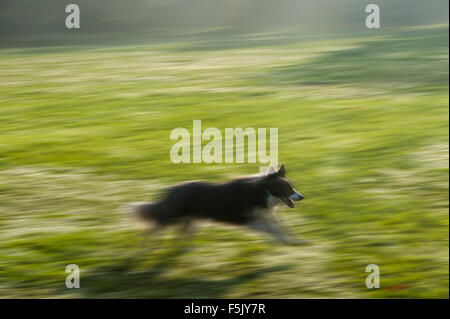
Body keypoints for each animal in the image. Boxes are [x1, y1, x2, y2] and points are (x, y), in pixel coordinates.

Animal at [131, 165, 310, 245]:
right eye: (287, 188)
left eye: (292, 186)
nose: (301, 197)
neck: (260, 192)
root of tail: (170, 190)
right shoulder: (250, 220)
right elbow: (273, 231)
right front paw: (283, 241)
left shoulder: (266, 216)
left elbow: (282, 229)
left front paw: (296, 241)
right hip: (172, 216)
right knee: (155, 225)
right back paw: (146, 246)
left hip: (190, 219)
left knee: (182, 233)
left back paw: (184, 247)